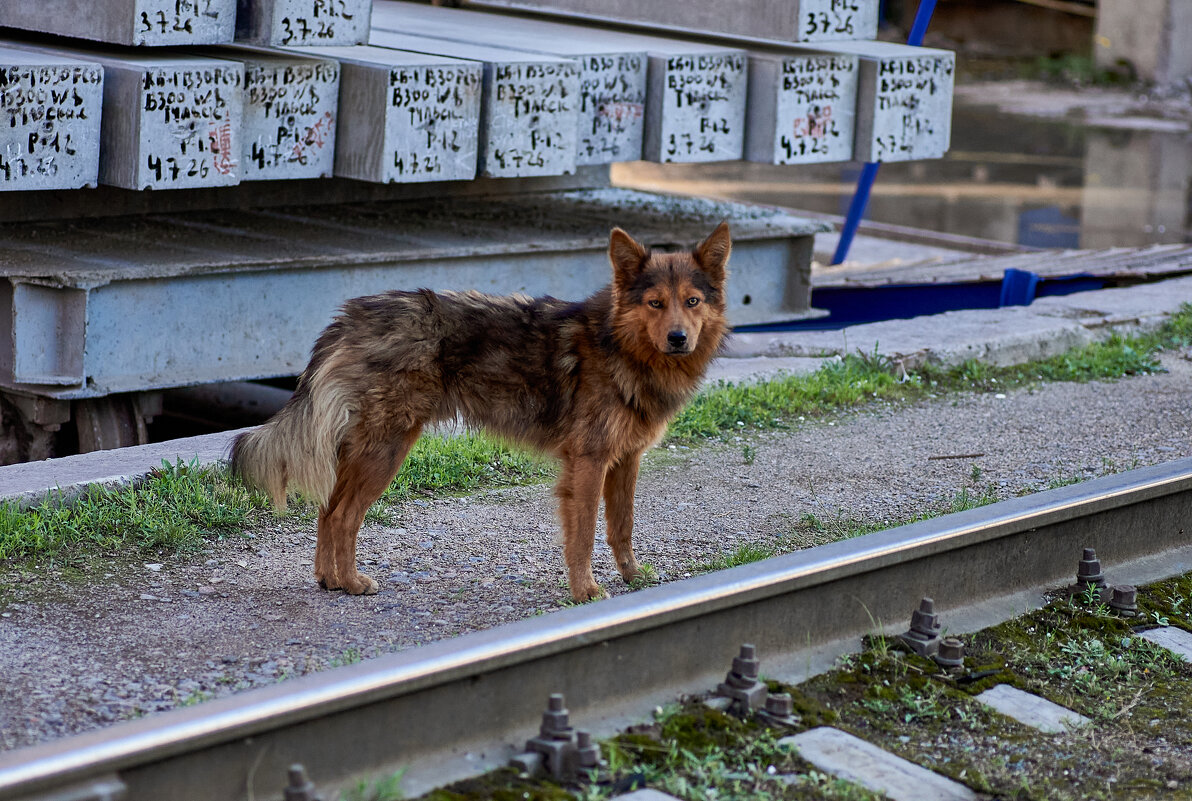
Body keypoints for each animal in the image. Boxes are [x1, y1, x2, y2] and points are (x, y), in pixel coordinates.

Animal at [231, 222, 731, 602]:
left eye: (692, 301)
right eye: (655, 303)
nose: (679, 339)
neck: (621, 346)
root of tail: (352, 316)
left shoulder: (625, 460)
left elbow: (622, 527)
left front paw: (632, 576)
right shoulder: (588, 464)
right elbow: (585, 533)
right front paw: (585, 591)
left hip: (368, 450)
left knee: (325, 510)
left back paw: (328, 580)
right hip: (386, 451)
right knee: (342, 516)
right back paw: (351, 583)